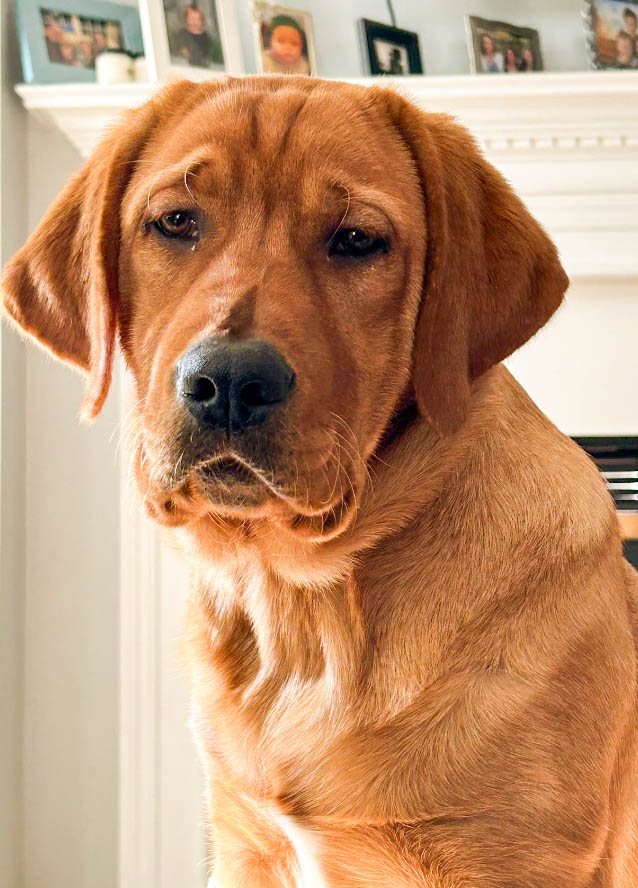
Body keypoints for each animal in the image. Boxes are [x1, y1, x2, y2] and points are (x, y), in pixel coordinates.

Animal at [5, 76, 638, 888]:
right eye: (176, 222)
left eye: (358, 240)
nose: (228, 382)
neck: (304, 611)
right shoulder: (242, 841)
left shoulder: (513, 858)